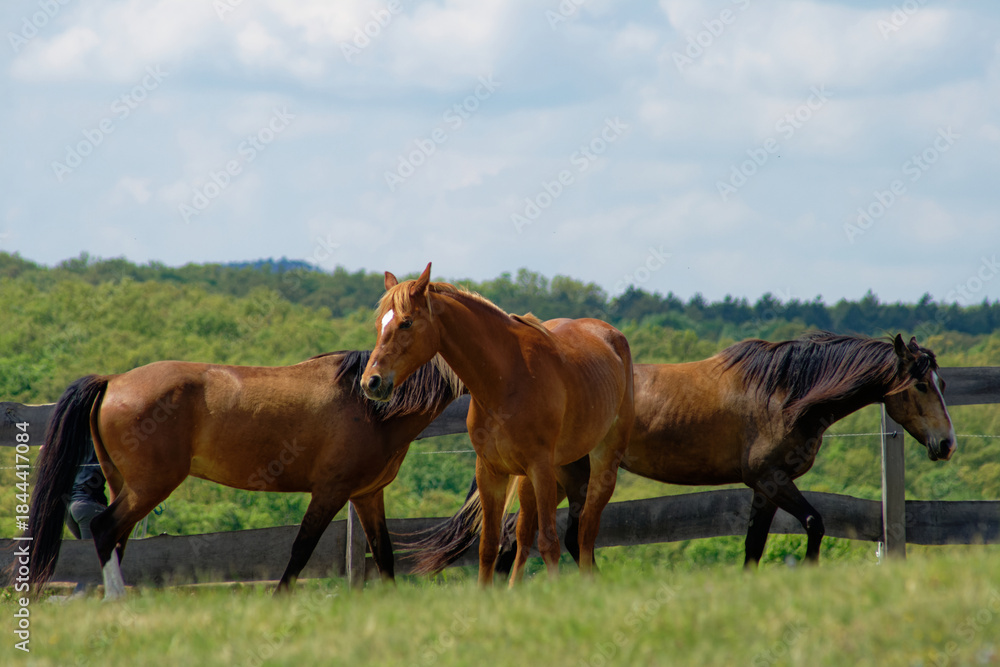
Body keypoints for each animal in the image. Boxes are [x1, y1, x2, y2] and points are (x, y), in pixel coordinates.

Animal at [19, 349, 462, 599]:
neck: (370, 406)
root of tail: (113, 381)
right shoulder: (331, 493)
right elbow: (301, 549)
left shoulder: (367, 495)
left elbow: (384, 554)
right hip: (149, 486)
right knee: (105, 529)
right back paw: (117, 601)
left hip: (125, 485)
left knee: (115, 538)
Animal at [360, 263, 634, 586]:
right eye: (380, 324)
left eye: (406, 323)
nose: (371, 382)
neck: (507, 379)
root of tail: (610, 334)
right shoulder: (491, 471)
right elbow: (489, 545)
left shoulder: (541, 469)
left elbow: (549, 542)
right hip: (554, 474)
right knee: (528, 533)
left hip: (601, 464)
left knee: (586, 532)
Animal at [402, 332, 956, 573]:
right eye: (920, 385)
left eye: (942, 382)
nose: (946, 443)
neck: (783, 392)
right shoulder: (773, 480)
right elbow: (816, 524)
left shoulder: (763, 487)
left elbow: (754, 545)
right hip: (553, 477)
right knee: (524, 538)